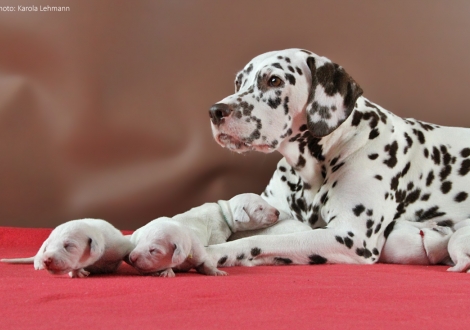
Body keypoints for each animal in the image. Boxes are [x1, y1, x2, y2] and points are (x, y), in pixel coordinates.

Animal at [1, 219, 134, 278]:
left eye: (68, 246)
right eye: (47, 248)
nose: (46, 260)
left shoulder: (118, 246)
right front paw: (77, 271)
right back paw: (38, 263)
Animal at [207, 49, 470, 270]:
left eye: (274, 80)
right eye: (239, 82)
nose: (215, 111)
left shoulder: (349, 237)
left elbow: (257, 243)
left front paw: (214, 252)